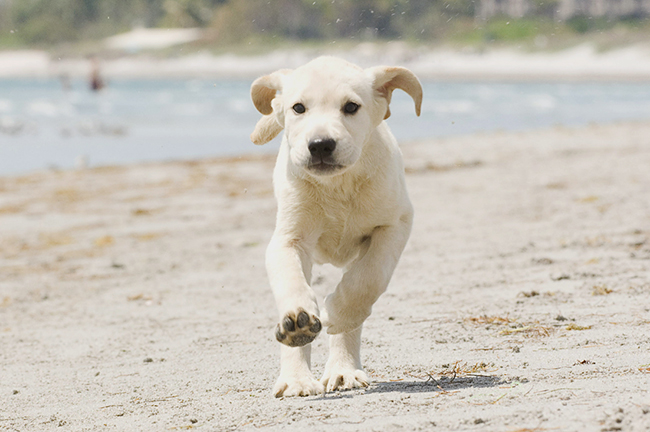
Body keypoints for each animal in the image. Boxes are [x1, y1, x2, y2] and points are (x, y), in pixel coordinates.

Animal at [248, 57, 420, 398]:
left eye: (351, 107)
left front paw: (338, 315)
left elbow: (368, 280)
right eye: (298, 108)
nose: (320, 145)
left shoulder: (395, 225)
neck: (338, 186)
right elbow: (291, 283)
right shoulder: (288, 240)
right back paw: (297, 378)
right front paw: (297, 322)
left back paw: (343, 370)